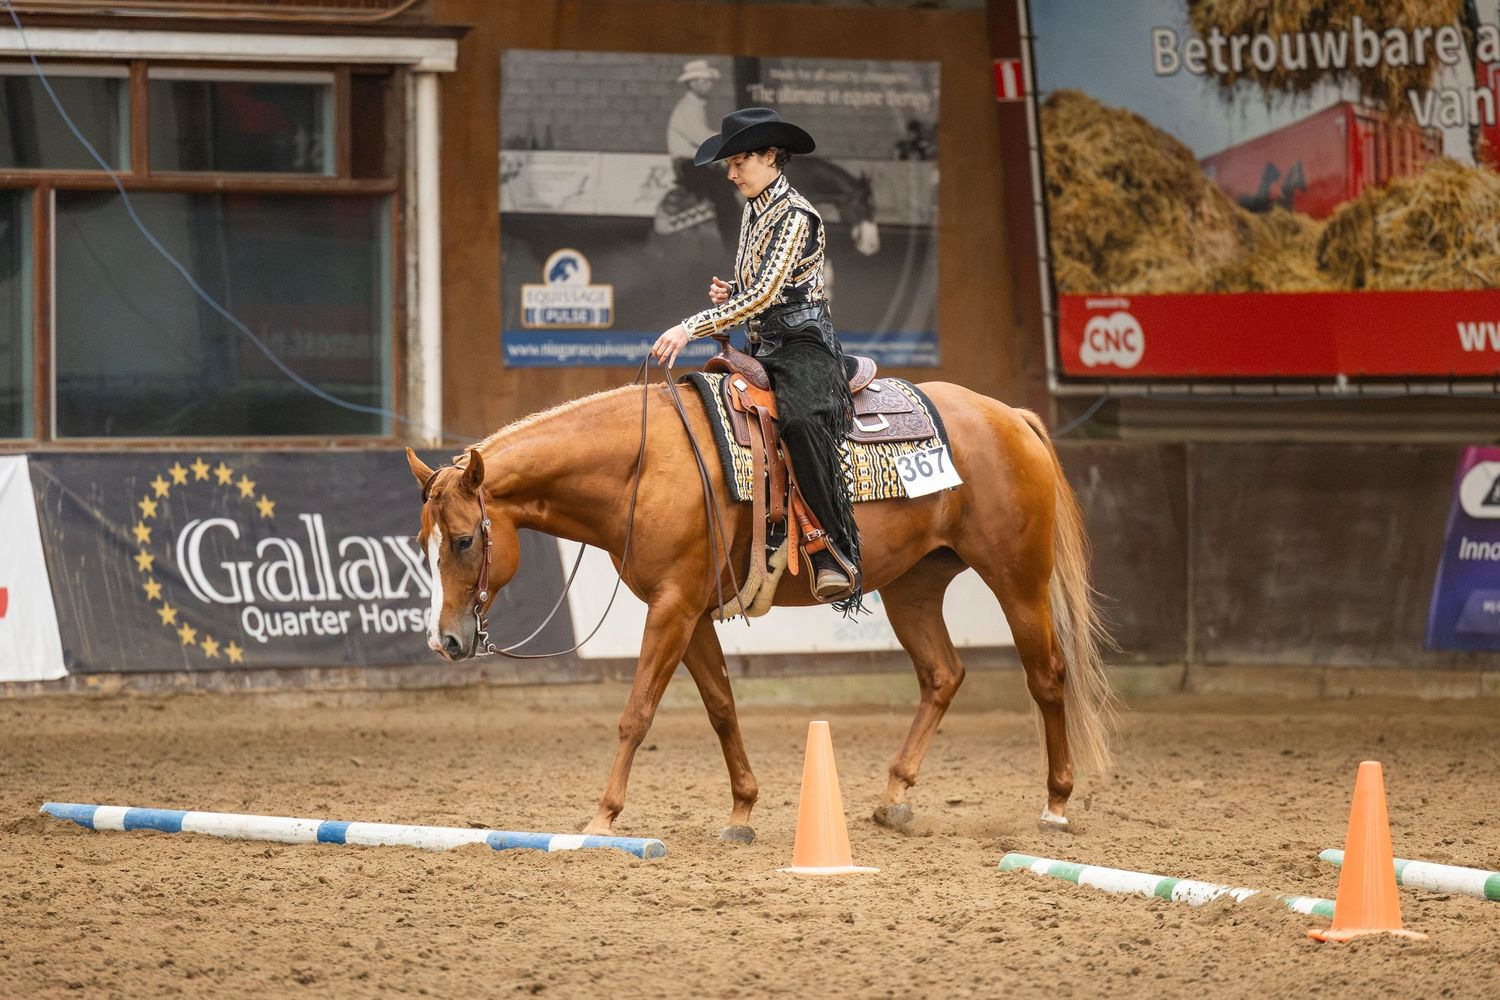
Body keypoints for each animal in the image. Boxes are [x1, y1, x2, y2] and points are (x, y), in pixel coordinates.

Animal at [405, 379, 1114, 842]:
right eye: (423, 541)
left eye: (464, 540)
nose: (445, 641)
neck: (643, 464)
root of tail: (1010, 416)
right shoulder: (688, 611)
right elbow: (721, 707)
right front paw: (742, 811)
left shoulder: (671, 608)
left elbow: (637, 713)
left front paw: (603, 816)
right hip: (913, 588)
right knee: (943, 675)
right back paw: (893, 799)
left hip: (1018, 580)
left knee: (1047, 677)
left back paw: (1056, 805)